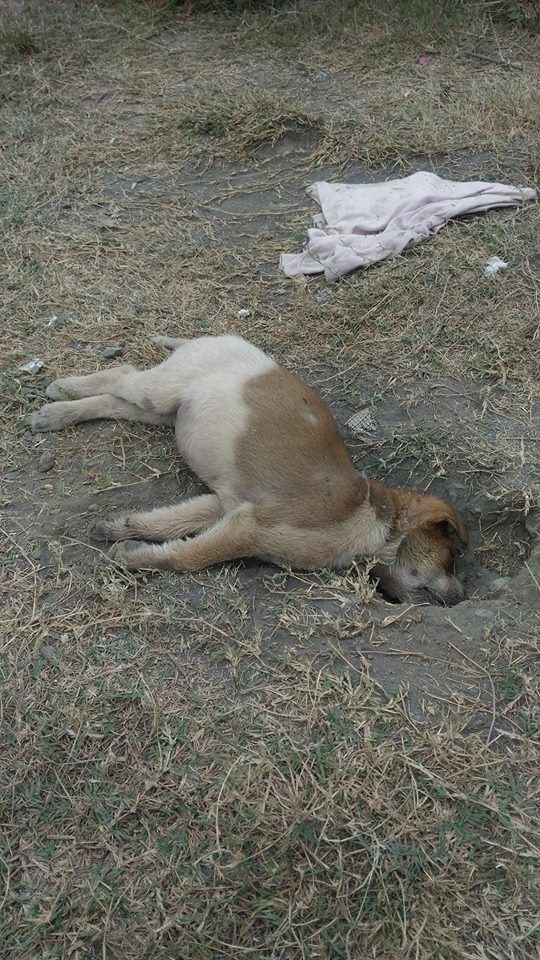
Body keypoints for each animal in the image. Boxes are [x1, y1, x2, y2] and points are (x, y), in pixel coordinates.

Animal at [30, 336, 468, 600]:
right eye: (450, 558)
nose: (461, 596)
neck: (373, 517)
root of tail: (221, 338)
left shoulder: (227, 507)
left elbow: (168, 522)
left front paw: (121, 529)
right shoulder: (250, 529)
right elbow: (190, 556)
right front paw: (133, 557)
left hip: (161, 412)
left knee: (114, 402)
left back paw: (59, 413)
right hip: (160, 390)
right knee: (123, 375)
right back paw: (61, 390)